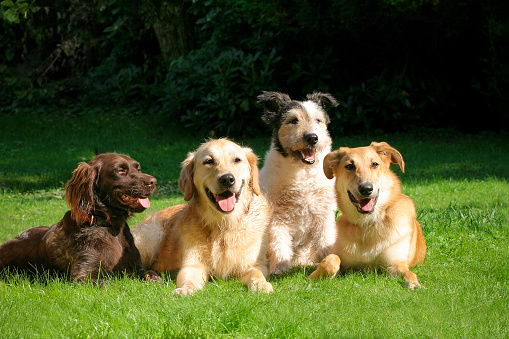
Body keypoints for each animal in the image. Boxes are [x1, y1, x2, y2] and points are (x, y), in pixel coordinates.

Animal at [0, 154, 161, 284]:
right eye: (120, 171)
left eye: (138, 169)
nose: (153, 181)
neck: (109, 226)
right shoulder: (82, 276)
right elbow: (109, 283)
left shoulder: (137, 267)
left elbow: (153, 275)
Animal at [132, 139, 274, 296]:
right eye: (209, 161)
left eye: (237, 160)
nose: (227, 179)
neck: (223, 224)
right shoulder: (192, 265)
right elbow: (188, 279)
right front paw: (185, 290)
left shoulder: (254, 264)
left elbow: (257, 274)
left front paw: (262, 285)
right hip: (151, 236)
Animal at [258, 91, 338, 274]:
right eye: (293, 120)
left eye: (318, 120)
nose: (312, 138)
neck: (304, 174)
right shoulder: (277, 218)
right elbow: (279, 244)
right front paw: (279, 269)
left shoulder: (323, 213)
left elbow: (326, 240)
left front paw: (329, 261)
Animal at [310, 141, 424, 290]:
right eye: (349, 166)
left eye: (375, 164)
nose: (366, 189)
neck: (367, 223)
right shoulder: (340, 258)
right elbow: (331, 260)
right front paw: (316, 275)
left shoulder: (396, 264)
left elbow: (409, 274)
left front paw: (415, 285)